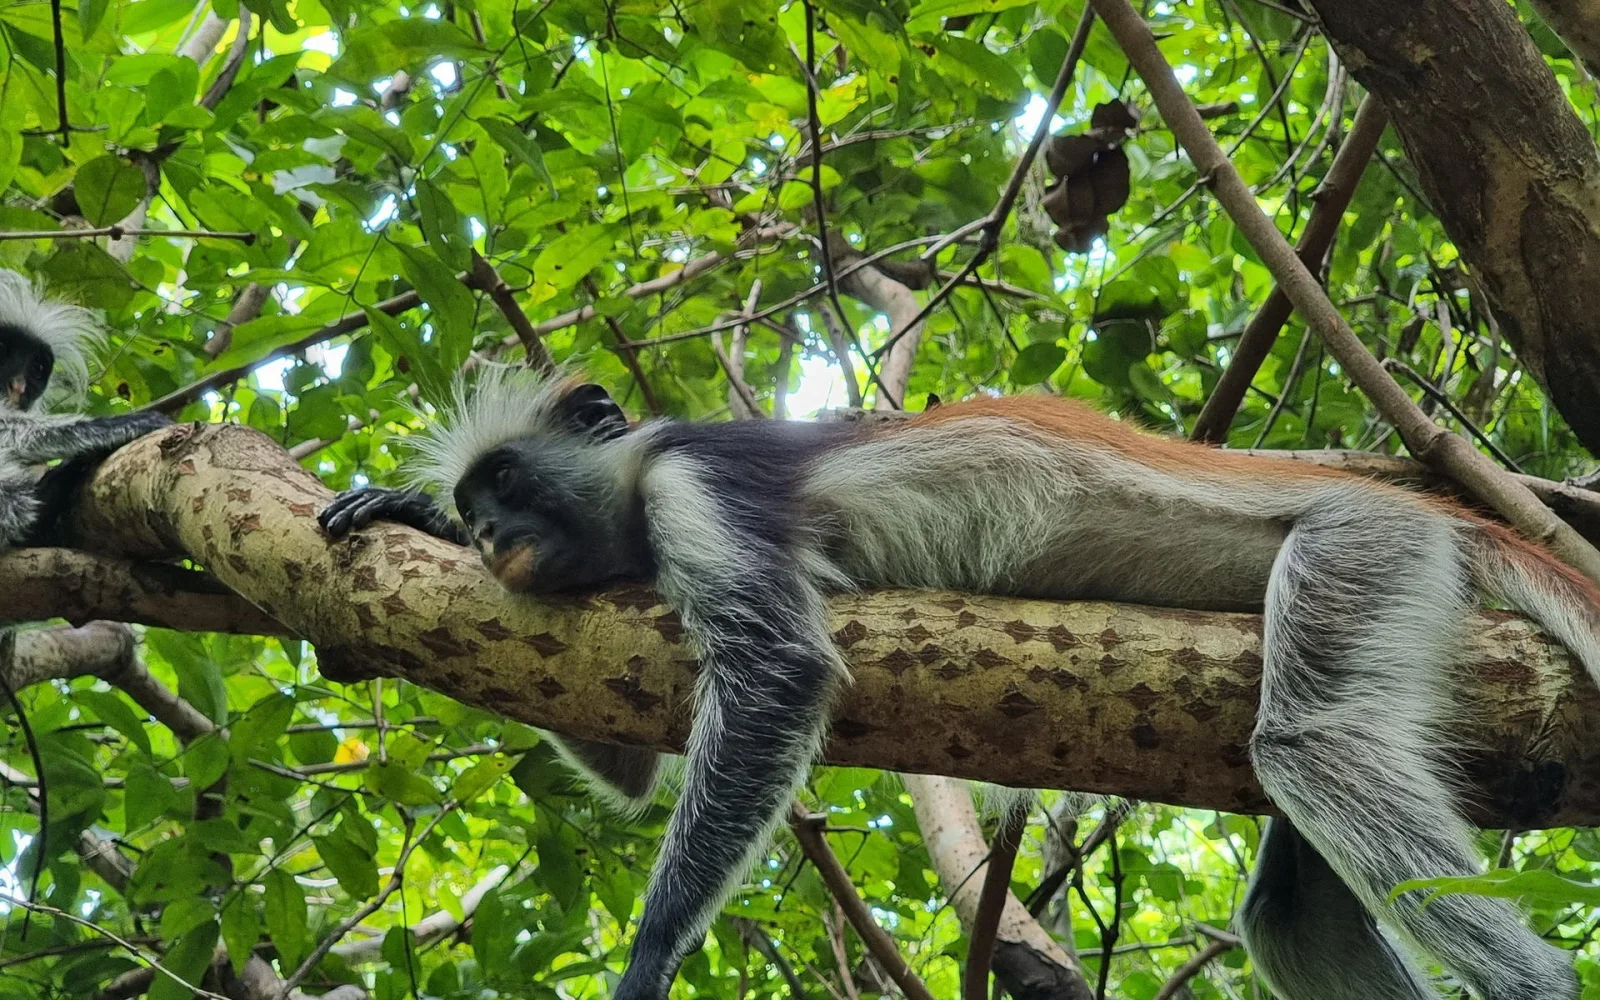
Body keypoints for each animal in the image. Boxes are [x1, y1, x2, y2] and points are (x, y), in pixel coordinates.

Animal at [319, 366, 1600, 1000]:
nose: (487, 534)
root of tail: (1435, 506)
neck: (634, 487)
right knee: (1292, 908)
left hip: (1360, 544)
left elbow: (776, 671)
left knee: (1312, 745)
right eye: (479, 501)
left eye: (509, 482)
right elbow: (632, 767)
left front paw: (648, 965)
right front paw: (409, 513)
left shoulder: (699, 480)